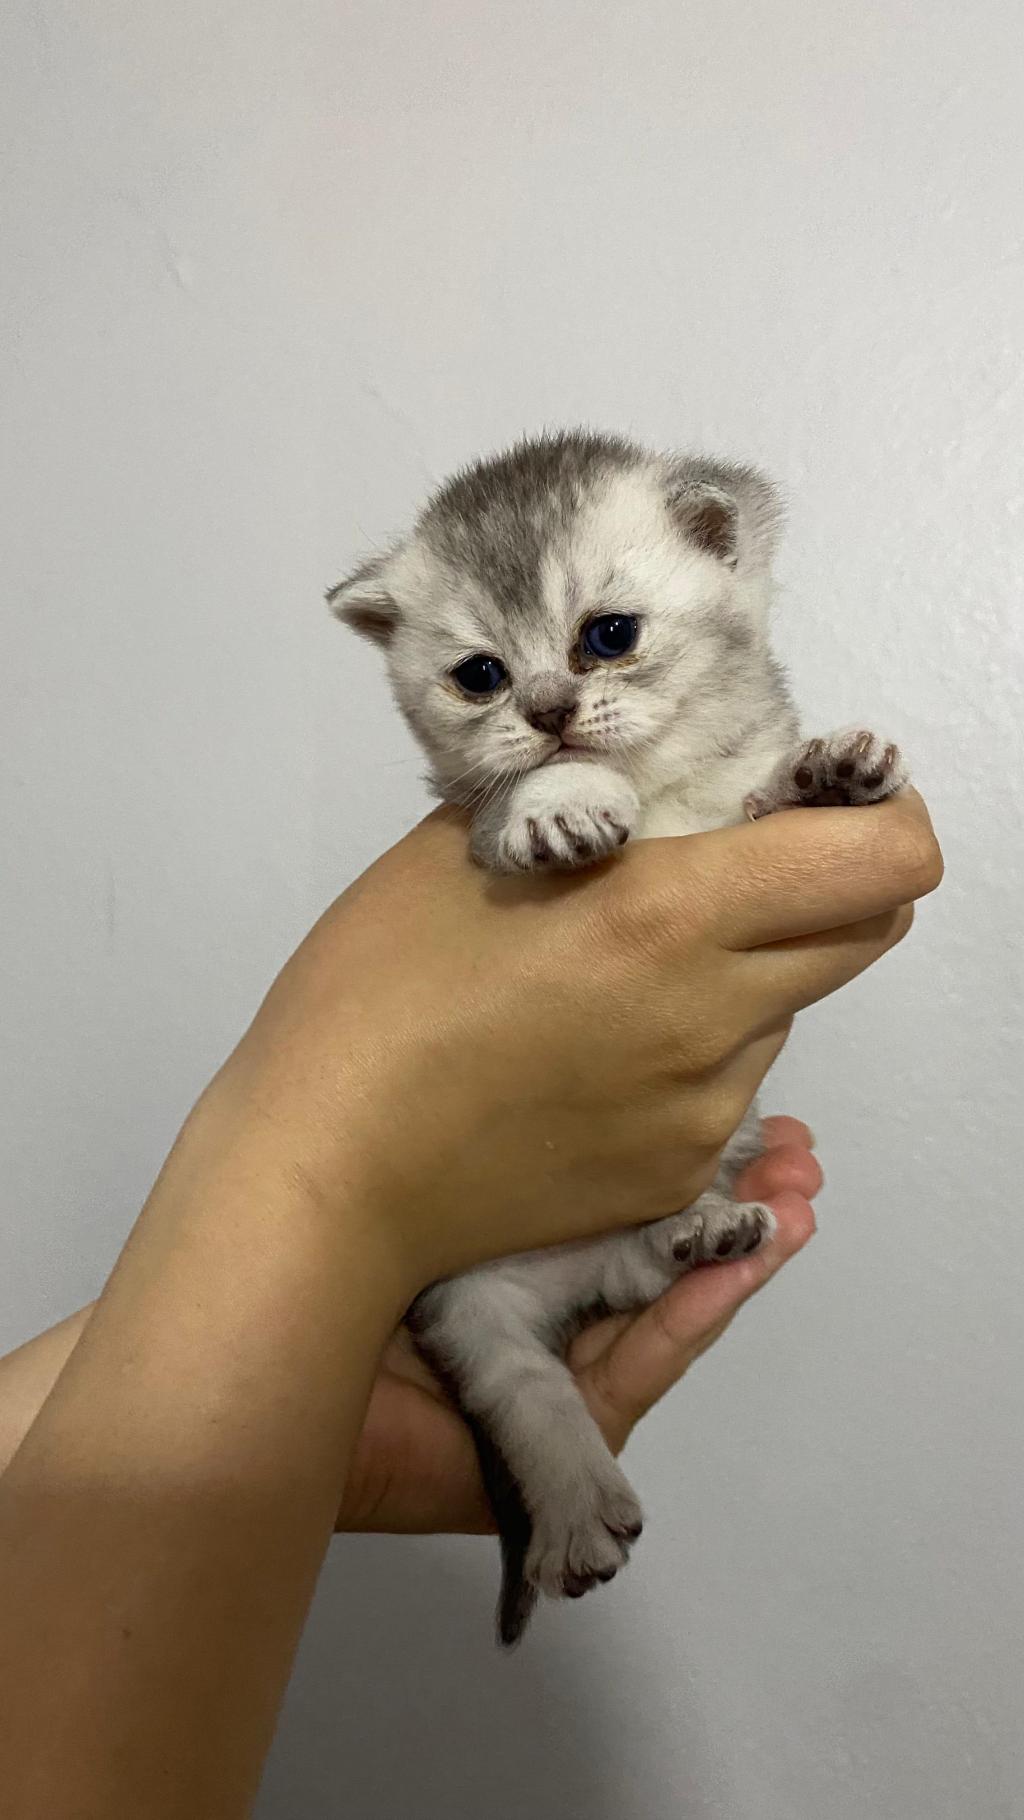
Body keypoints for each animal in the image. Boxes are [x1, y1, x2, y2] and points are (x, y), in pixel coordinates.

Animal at [329, 430, 908, 1646]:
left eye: (608, 635)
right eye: (481, 675)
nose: (551, 708)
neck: (657, 787)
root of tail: (565, 1265)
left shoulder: (730, 811)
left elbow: (760, 795)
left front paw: (823, 775)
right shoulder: (474, 831)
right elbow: (528, 801)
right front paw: (563, 796)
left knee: (631, 1270)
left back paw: (695, 1236)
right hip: (464, 1298)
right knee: (520, 1383)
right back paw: (573, 1511)